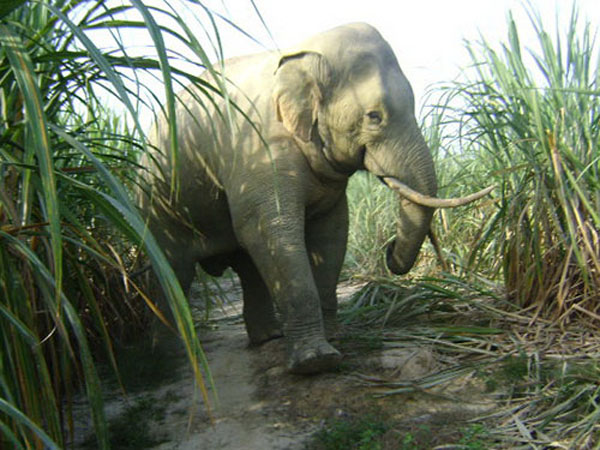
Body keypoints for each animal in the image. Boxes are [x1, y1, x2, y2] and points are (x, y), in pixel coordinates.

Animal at [139, 22, 482, 372]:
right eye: (374, 117)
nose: (387, 250)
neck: (298, 55)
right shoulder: (259, 152)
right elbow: (272, 231)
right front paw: (316, 362)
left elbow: (331, 233)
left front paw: (335, 338)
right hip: (154, 200)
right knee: (173, 267)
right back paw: (168, 358)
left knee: (247, 265)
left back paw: (269, 338)